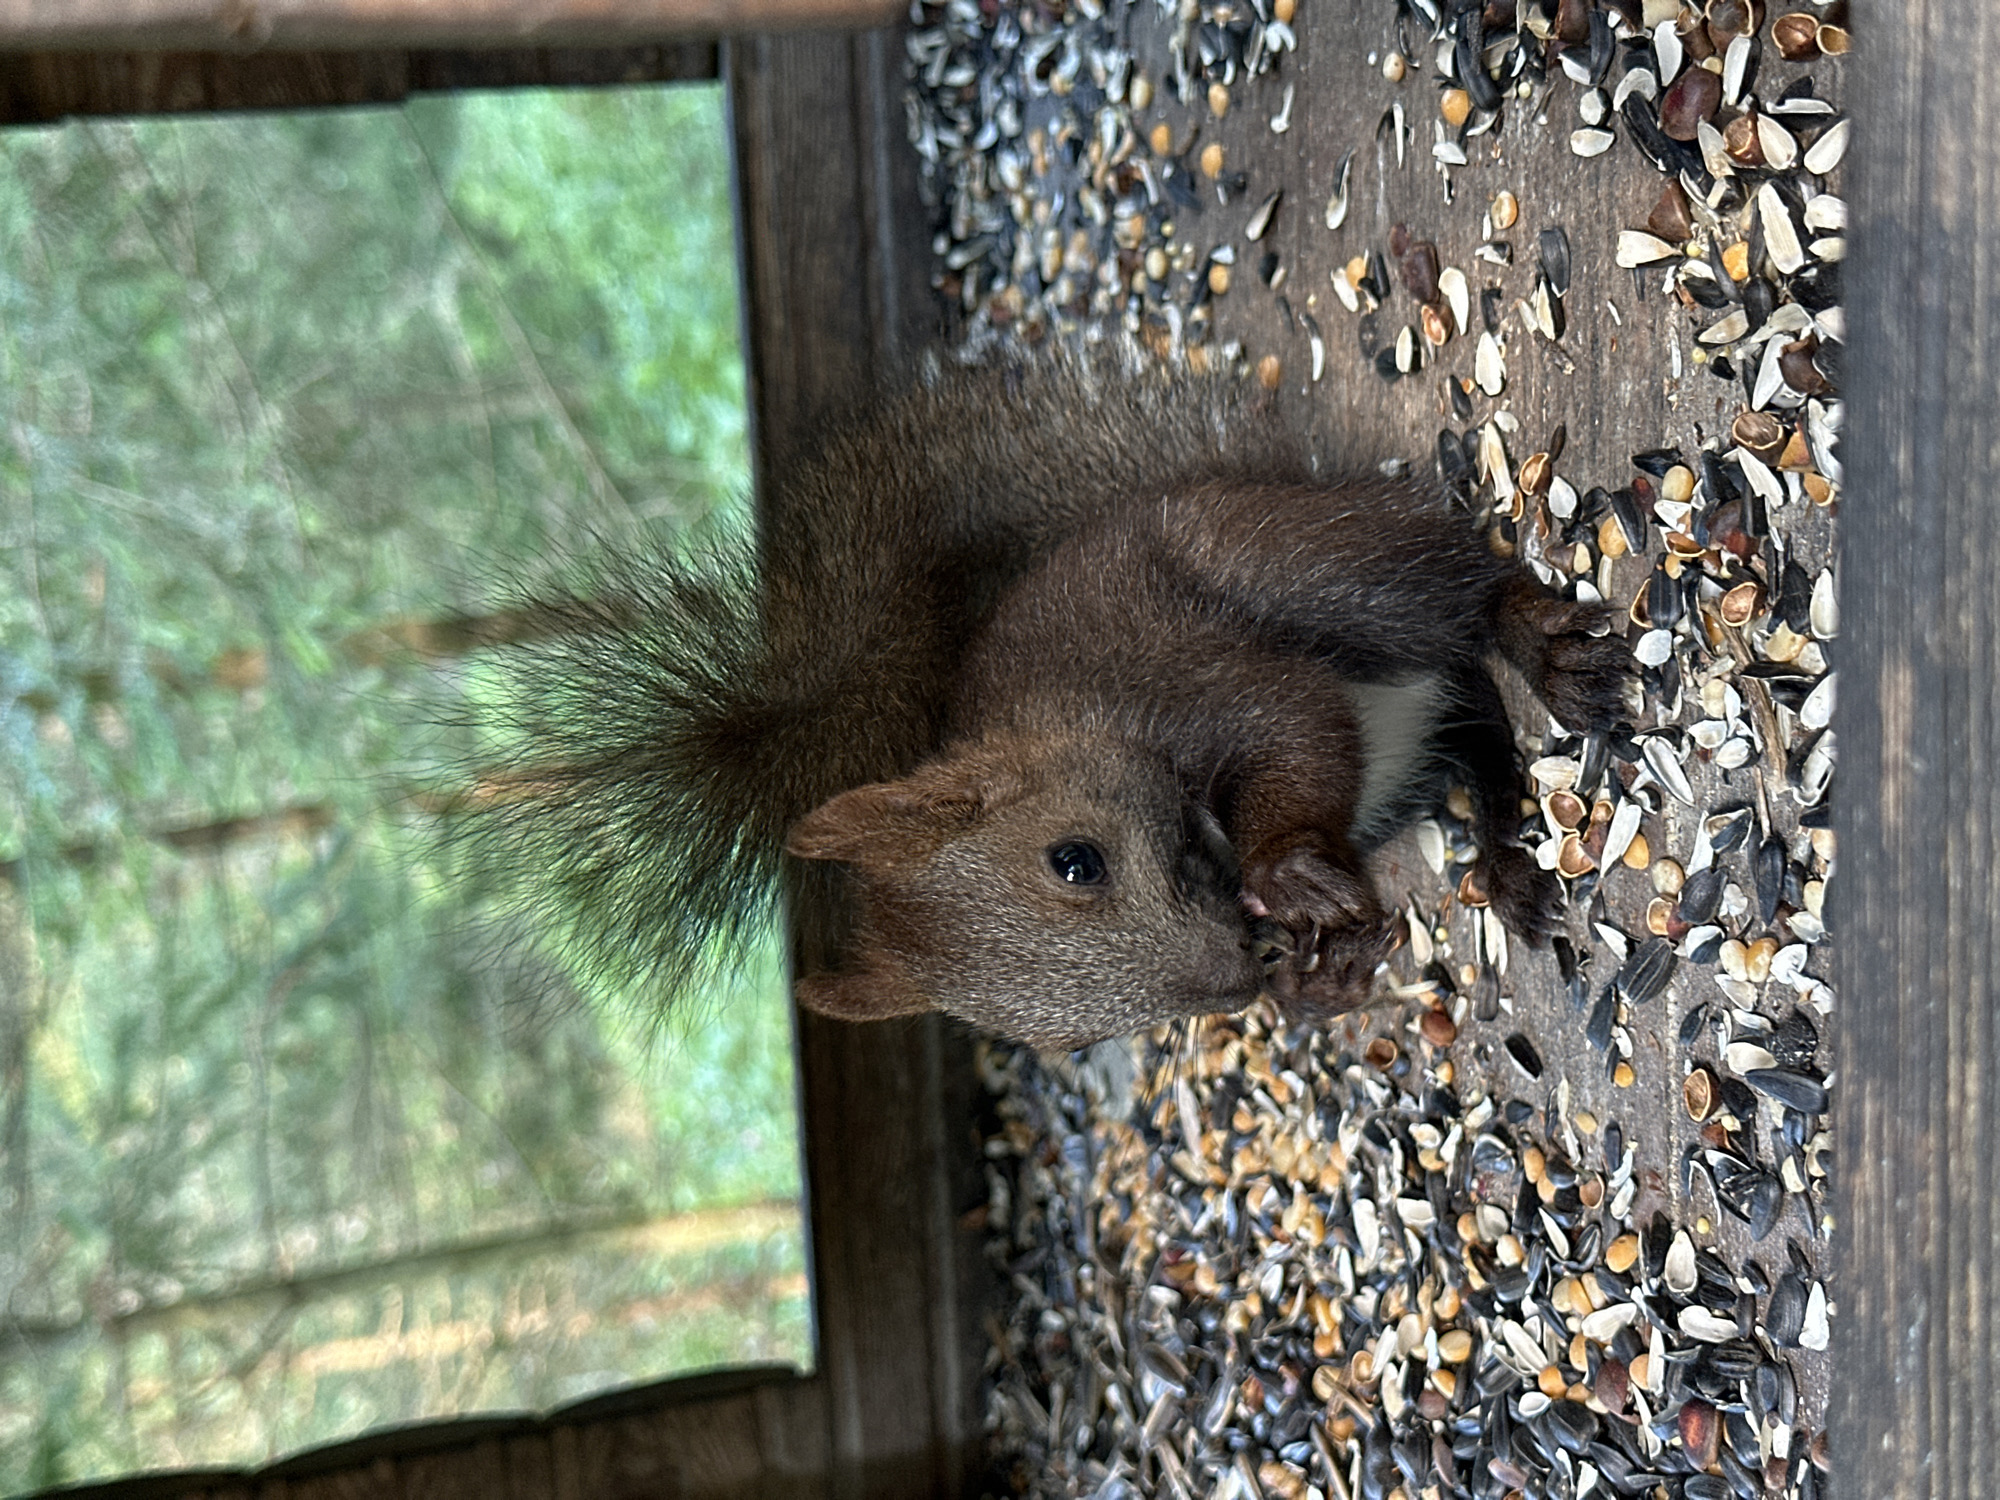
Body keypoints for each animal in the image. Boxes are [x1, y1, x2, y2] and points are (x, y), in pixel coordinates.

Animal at [453, 354, 1629, 1050]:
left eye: (1075, 860)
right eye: (1077, 1043)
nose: (1235, 977)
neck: (1070, 728)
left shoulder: (1181, 676)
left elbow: (1292, 728)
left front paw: (1286, 870)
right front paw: (1321, 967)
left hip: (1303, 567)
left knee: (1459, 603)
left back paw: (1538, 651)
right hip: (1402, 750)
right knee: (1474, 731)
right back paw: (1506, 862)